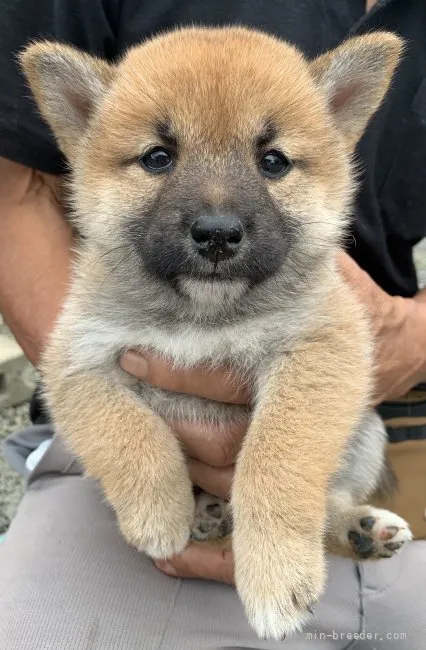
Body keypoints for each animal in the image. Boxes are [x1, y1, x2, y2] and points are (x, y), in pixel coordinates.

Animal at [21, 26, 412, 636]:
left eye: (272, 161)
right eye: (158, 157)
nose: (217, 233)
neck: (202, 316)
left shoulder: (321, 352)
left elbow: (275, 458)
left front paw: (276, 572)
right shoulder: (76, 360)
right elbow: (128, 432)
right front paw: (159, 513)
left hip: (366, 431)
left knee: (330, 497)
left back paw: (355, 530)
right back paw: (210, 512)